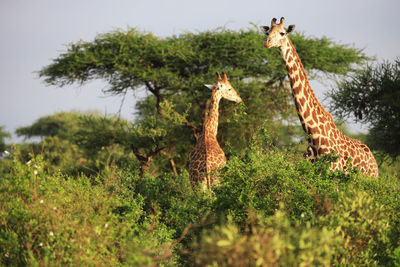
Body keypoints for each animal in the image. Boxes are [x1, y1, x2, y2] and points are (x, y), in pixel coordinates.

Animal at [260, 17, 376, 178]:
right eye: (268, 32)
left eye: (282, 33)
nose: (267, 42)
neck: (313, 136)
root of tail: (374, 162)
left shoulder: (333, 173)